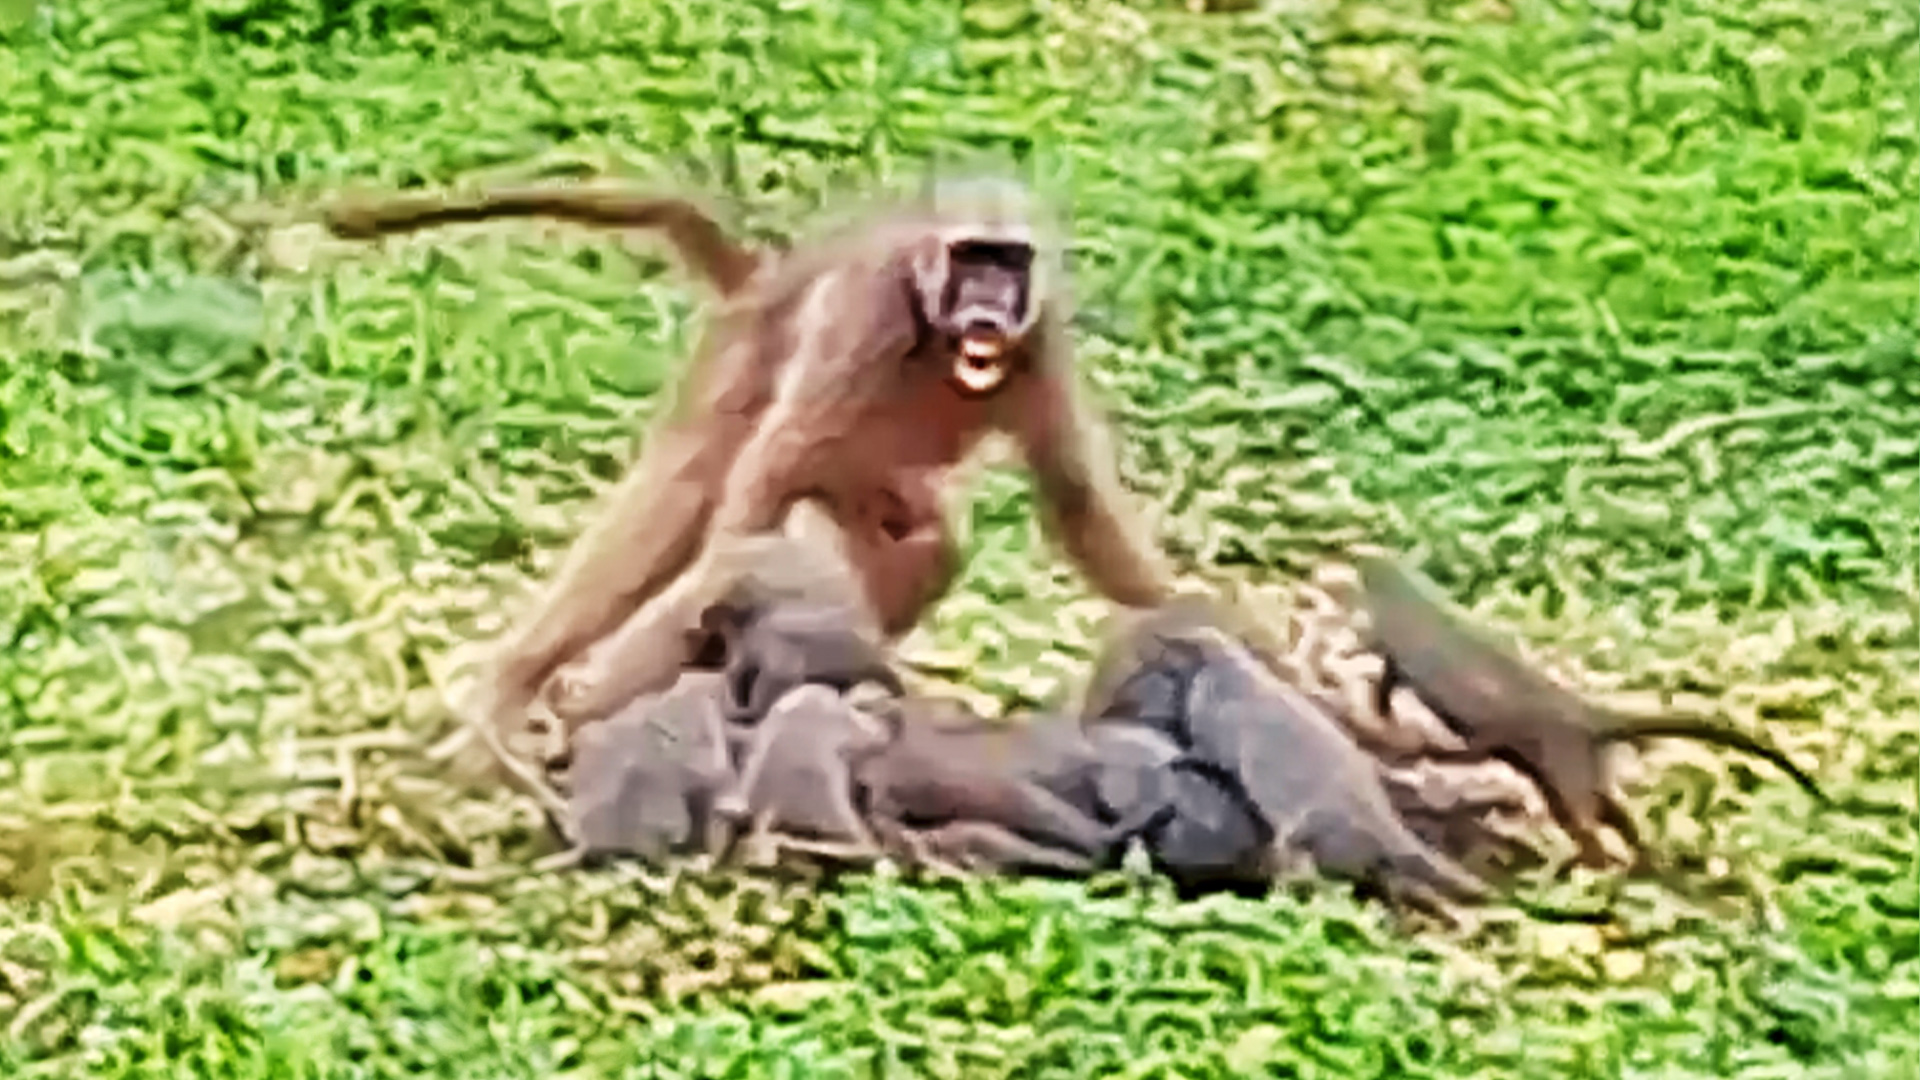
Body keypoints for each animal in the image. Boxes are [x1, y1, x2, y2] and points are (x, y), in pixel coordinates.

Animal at [327, 175, 1179, 791]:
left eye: (1011, 263)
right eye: (973, 258)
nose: (988, 306)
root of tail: (764, 285)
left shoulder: (1042, 335)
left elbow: (1075, 499)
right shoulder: (866, 313)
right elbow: (758, 494)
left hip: (864, 475)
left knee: (925, 544)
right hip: (744, 370)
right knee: (686, 513)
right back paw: (534, 689)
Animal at [1087, 612, 1494, 909]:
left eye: (1166, 645)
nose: (1151, 642)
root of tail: (1382, 817)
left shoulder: (1213, 733)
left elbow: (1201, 752)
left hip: (1307, 834)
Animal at [1354, 554, 1829, 869]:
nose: (1359, 558)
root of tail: (1586, 710)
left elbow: (1386, 670)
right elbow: (1387, 682)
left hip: (1564, 761)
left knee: (1588, 817)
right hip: (1575, 766)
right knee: (1611, 811)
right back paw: (1641, 856)